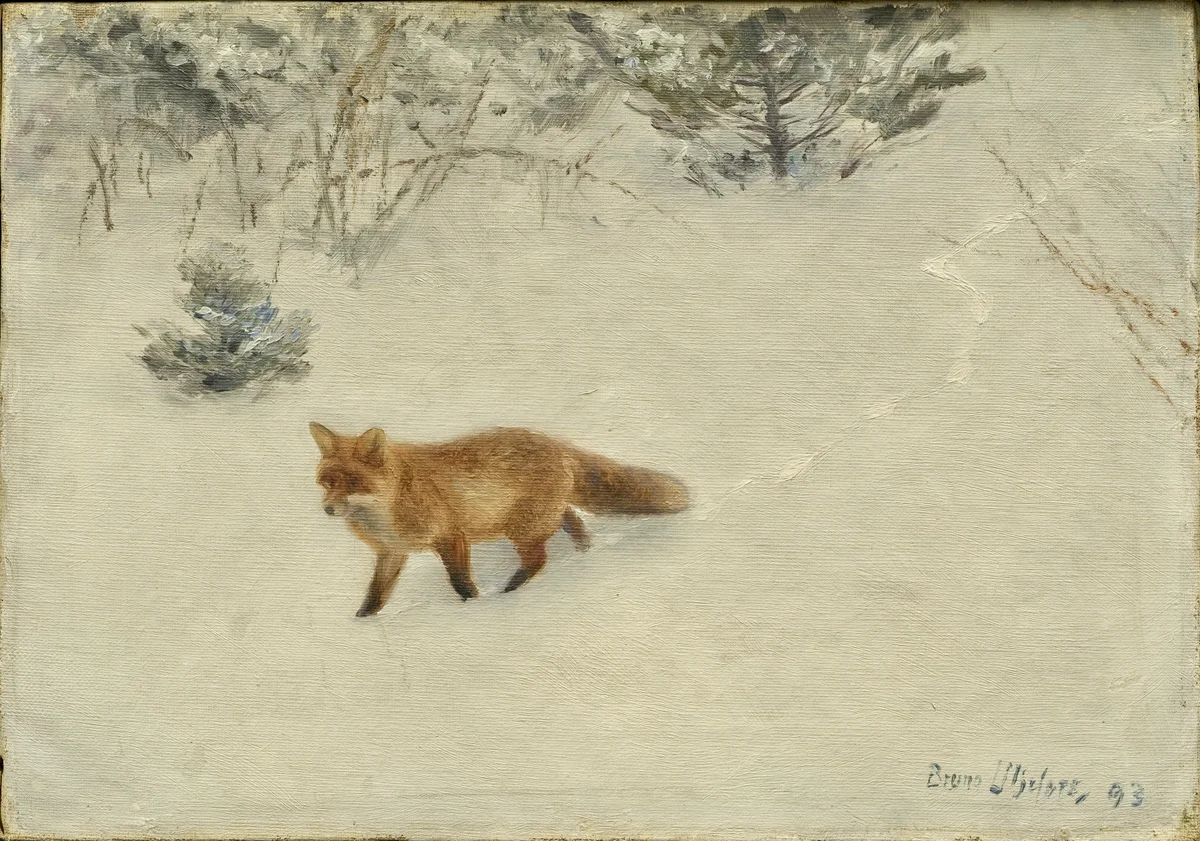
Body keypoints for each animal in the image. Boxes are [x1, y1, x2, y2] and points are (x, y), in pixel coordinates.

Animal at [309, 423, 690, 616]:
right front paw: (361, 623)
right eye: (327, 482)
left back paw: (510, 592)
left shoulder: (451, 536)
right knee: (571, 519)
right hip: (537, 519)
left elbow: (461, 583)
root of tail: (556, 444)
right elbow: (374, 596)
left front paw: (475, 609)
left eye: (352, 483)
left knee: (539, 559)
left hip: (521, 528)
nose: (328, 509)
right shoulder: (392, 552)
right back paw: (584, 553)